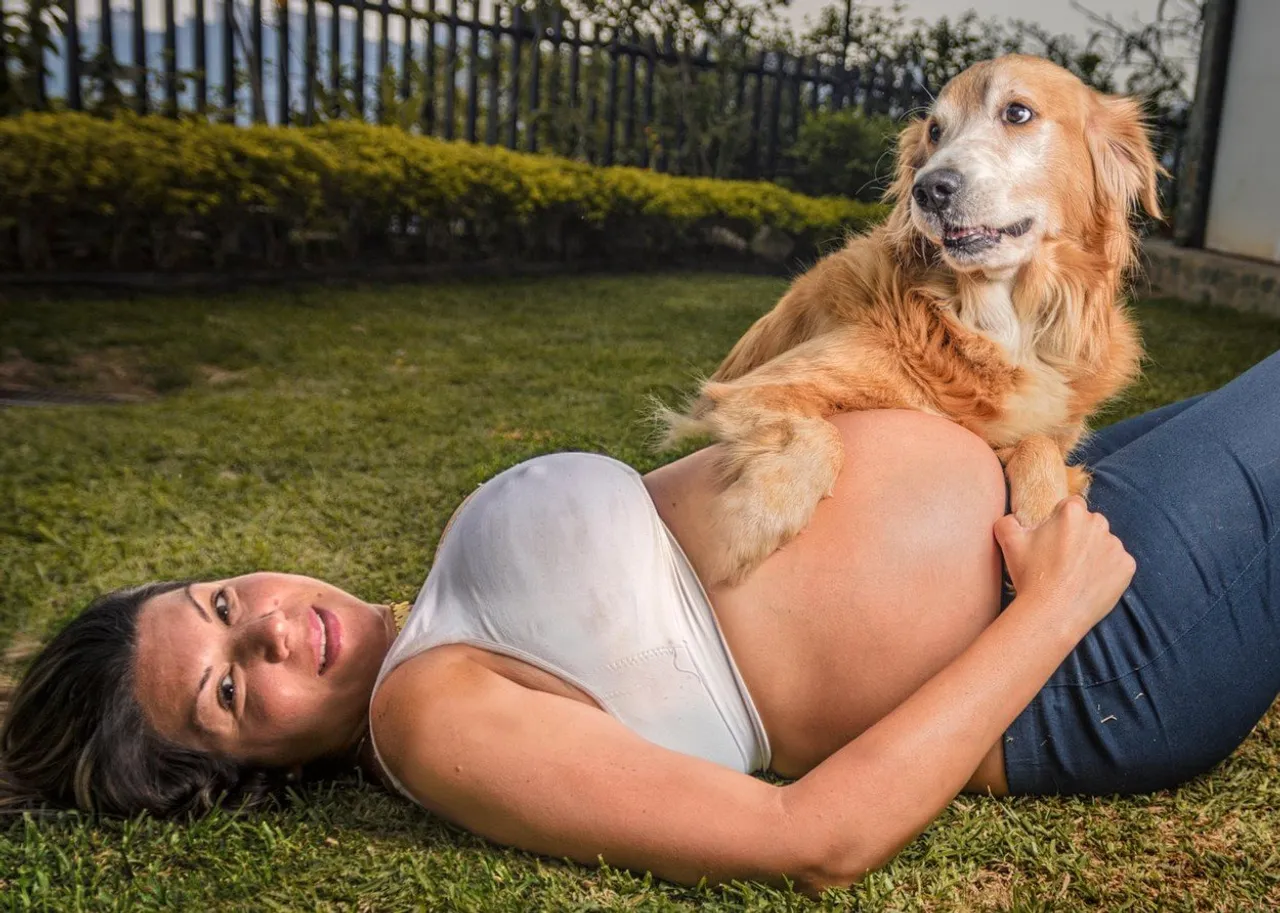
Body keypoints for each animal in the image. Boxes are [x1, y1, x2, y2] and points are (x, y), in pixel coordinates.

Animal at [660, 55, 1162, 583]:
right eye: (935, 131)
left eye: (1018, 113)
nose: (929, 190)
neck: (996, 324)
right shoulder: (742, 392)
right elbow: (821, 435)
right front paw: (753, 520)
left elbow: (1040, 446)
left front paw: (1044, 520)